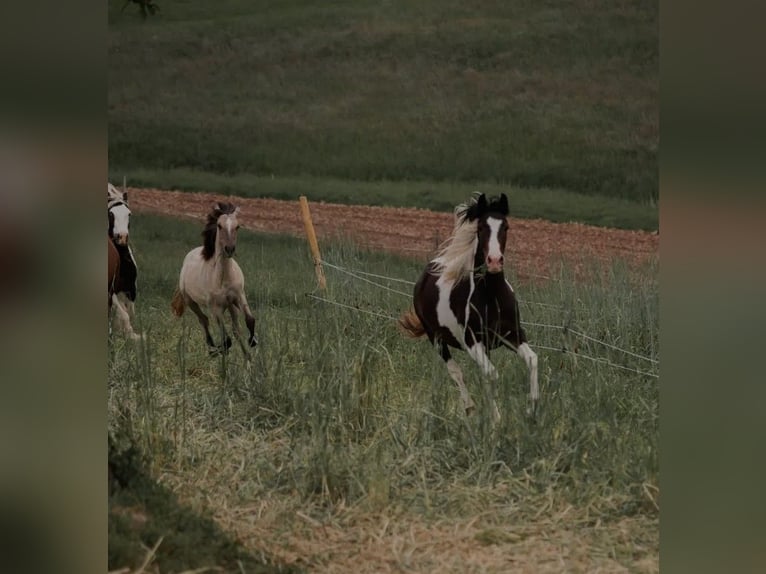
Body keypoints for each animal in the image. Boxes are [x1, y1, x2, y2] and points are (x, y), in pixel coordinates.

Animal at [172, 205, 260, 362]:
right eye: (219, 225)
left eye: (238, 226)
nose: (229, 249)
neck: (224, 279)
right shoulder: (216, 308)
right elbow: (227, 340)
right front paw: (220, 350)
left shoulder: (239, 296)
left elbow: (250, 319)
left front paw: (253, 341)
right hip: (191, 302)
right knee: (204, 320)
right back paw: (212, 349)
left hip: (230, 305)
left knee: (236, 329)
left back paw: (246, 356)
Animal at [402, 195, 540, 424]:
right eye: (481, 227)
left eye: (506, 227)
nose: (494, 261)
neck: (492, 298)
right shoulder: (472, 341)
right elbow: (491, 375)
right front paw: (496, 418)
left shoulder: (514, 335)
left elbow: (531, 360)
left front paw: (531, 410)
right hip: (437, 339)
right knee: (456, 372)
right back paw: (470, 408)